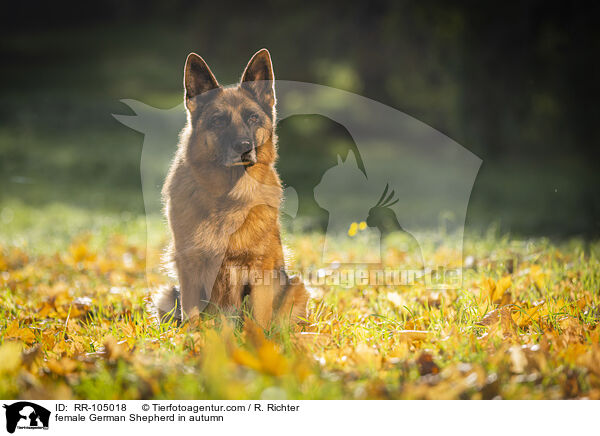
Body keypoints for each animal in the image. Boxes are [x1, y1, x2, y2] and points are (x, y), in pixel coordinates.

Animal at [154, 49, 310, 326]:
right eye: (218, 121)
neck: (227, 196)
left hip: (296, 287)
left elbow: (259, 321)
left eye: (253, 117)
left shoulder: (261, 272)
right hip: (167, 294)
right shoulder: (189, 266)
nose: (244, 147)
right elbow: (192, 316)